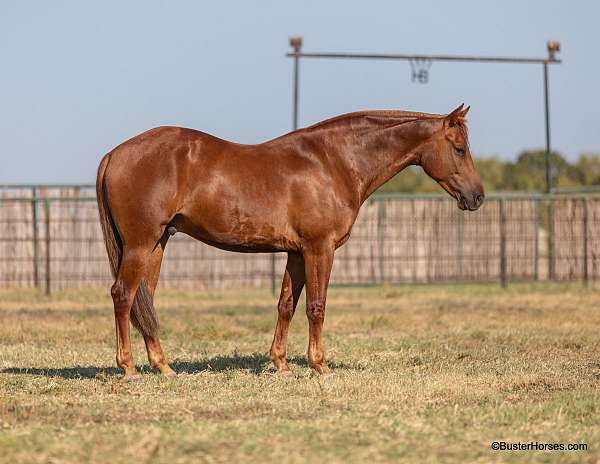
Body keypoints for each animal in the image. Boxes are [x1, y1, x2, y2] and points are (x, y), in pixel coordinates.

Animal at [97, 103, 482, 378]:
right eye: (459, 149)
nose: (477, 197)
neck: (333, 162)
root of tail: (115, 153)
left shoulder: (296, 253)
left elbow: (286, 305)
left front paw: (280, 363)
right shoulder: (319, 249)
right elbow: (316, 307)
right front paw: (320, 365)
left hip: (157, 244)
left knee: (144, 300)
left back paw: (163, 366)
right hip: (140, 245)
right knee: (123, 295)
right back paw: (128, 368)